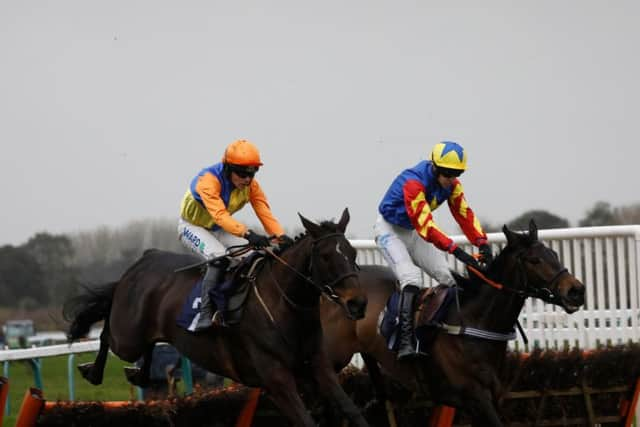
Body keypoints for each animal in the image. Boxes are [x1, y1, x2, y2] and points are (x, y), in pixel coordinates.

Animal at [63, 209, 370, 426]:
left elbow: (353, 411)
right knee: (107, 335)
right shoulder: (276, 379)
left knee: (146, 347)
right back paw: (92, 371)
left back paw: (138, 374)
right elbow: (306, 420)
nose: (358, 303)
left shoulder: (319, 367)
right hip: (128, 337)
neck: (283, 305)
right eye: (326, 256)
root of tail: (143, 259)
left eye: (352, 252)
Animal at [322, 221, 588, 427]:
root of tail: (331, 290)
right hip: (334, 358)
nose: (576, 290)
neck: (474, 322)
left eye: (554, 255)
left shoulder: (492, 397)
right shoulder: (476, 398)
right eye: (534, 260)